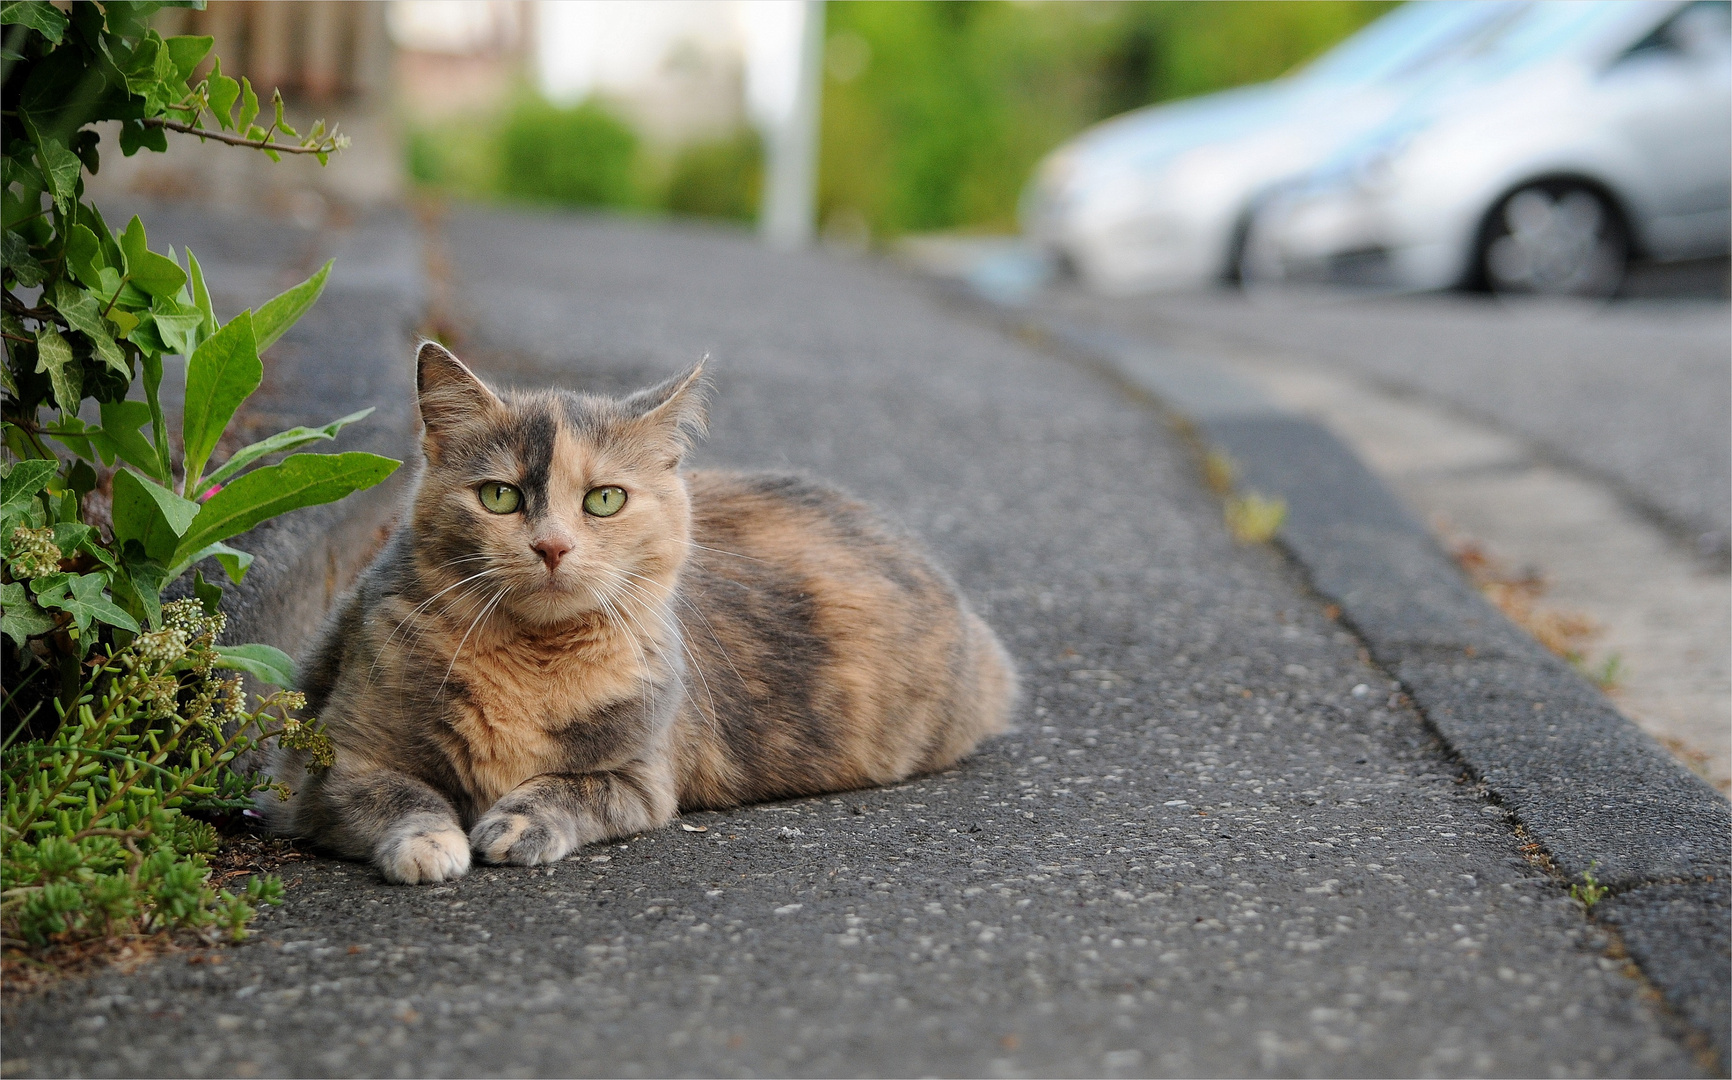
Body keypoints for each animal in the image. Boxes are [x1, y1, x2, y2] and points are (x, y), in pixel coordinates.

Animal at [254, 340, 1011, 882]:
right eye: (499, 496)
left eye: (605, 500)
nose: (552, 546)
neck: (533, 661)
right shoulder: (330, 764)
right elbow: (401, 797)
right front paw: (433, 843)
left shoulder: (642, 776)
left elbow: (565, 789)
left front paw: (513, 826)